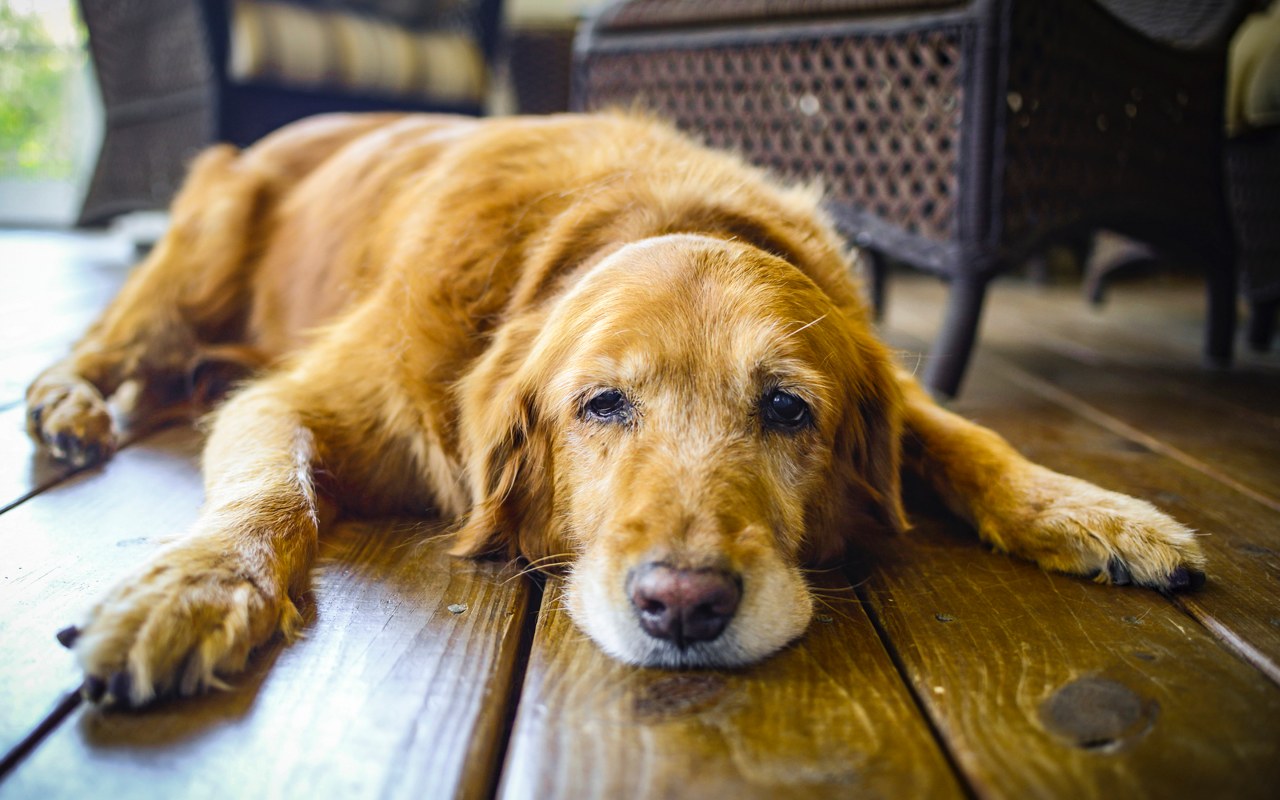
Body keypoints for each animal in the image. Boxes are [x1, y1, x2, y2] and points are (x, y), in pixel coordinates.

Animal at [24, 113, 1203, 706]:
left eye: (788, 410)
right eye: (600, 403)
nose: (683, 605)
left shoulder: (890, 379)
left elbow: (968, 437)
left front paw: (1095, 512)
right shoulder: (292, 397)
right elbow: (271, 495)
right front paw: (194, 588)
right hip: (201, 245)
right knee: (116, 340)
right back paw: (68, 401)